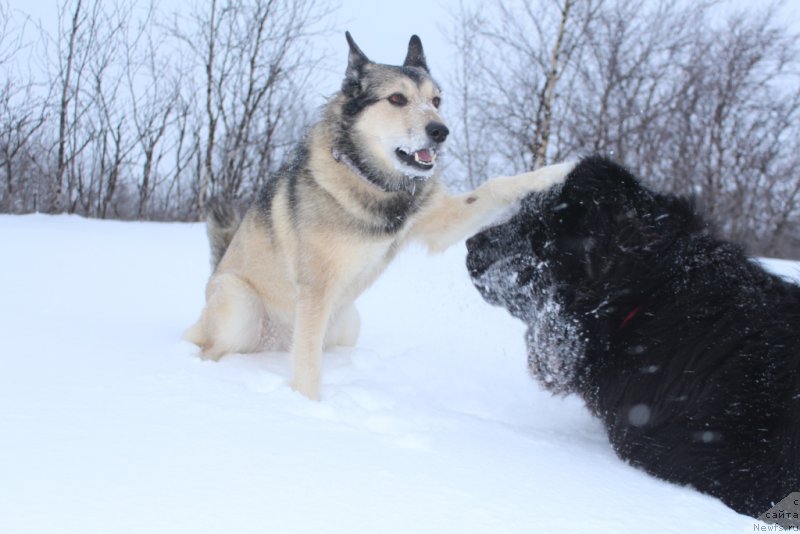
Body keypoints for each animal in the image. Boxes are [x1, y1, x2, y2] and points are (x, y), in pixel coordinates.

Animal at [186, 31, 576, 400]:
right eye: (397, 99)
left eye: (436, 101)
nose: (440, 131)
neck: (372, 180)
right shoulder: (315, 291)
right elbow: (308, 368)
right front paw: (309, 406)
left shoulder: (435, 222)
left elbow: (496, 186)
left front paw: (556, 172)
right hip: (242, 306)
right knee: (212, 349)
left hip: (346, 323)